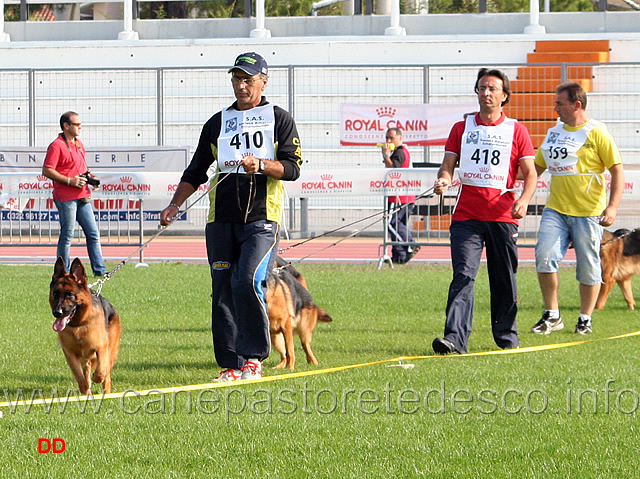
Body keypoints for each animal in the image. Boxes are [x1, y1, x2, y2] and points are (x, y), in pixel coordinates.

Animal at [49, 256, 120, 396]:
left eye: (70, 295)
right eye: (55, 293)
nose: (57, 313)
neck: (79, 325)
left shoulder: (101, 348)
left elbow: (100, 372)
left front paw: (97, 378)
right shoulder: (70, 355)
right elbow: (80, 378)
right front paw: (85, 390)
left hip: (110, 352)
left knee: (107, 373)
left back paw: (106, 392)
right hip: (85, 359)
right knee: (86, 372)